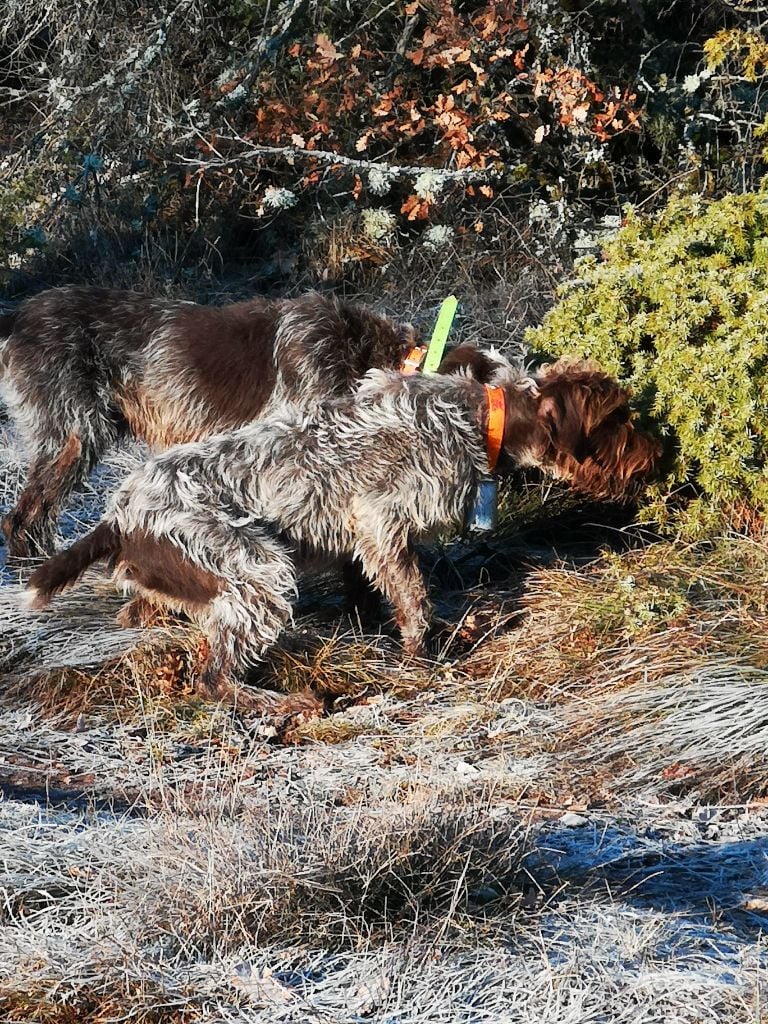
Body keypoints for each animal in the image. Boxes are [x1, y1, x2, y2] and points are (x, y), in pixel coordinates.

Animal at [25, 358, 663, 704]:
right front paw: (424, 656)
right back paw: (287, 704)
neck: (480, 421)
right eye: (617, 419)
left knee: (148, 616)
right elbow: (413, 599)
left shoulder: (361, 540)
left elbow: (378, 590)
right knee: (213, 679)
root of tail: (119, 513)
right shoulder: (382, 522)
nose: (661, 454)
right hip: (256, 568)